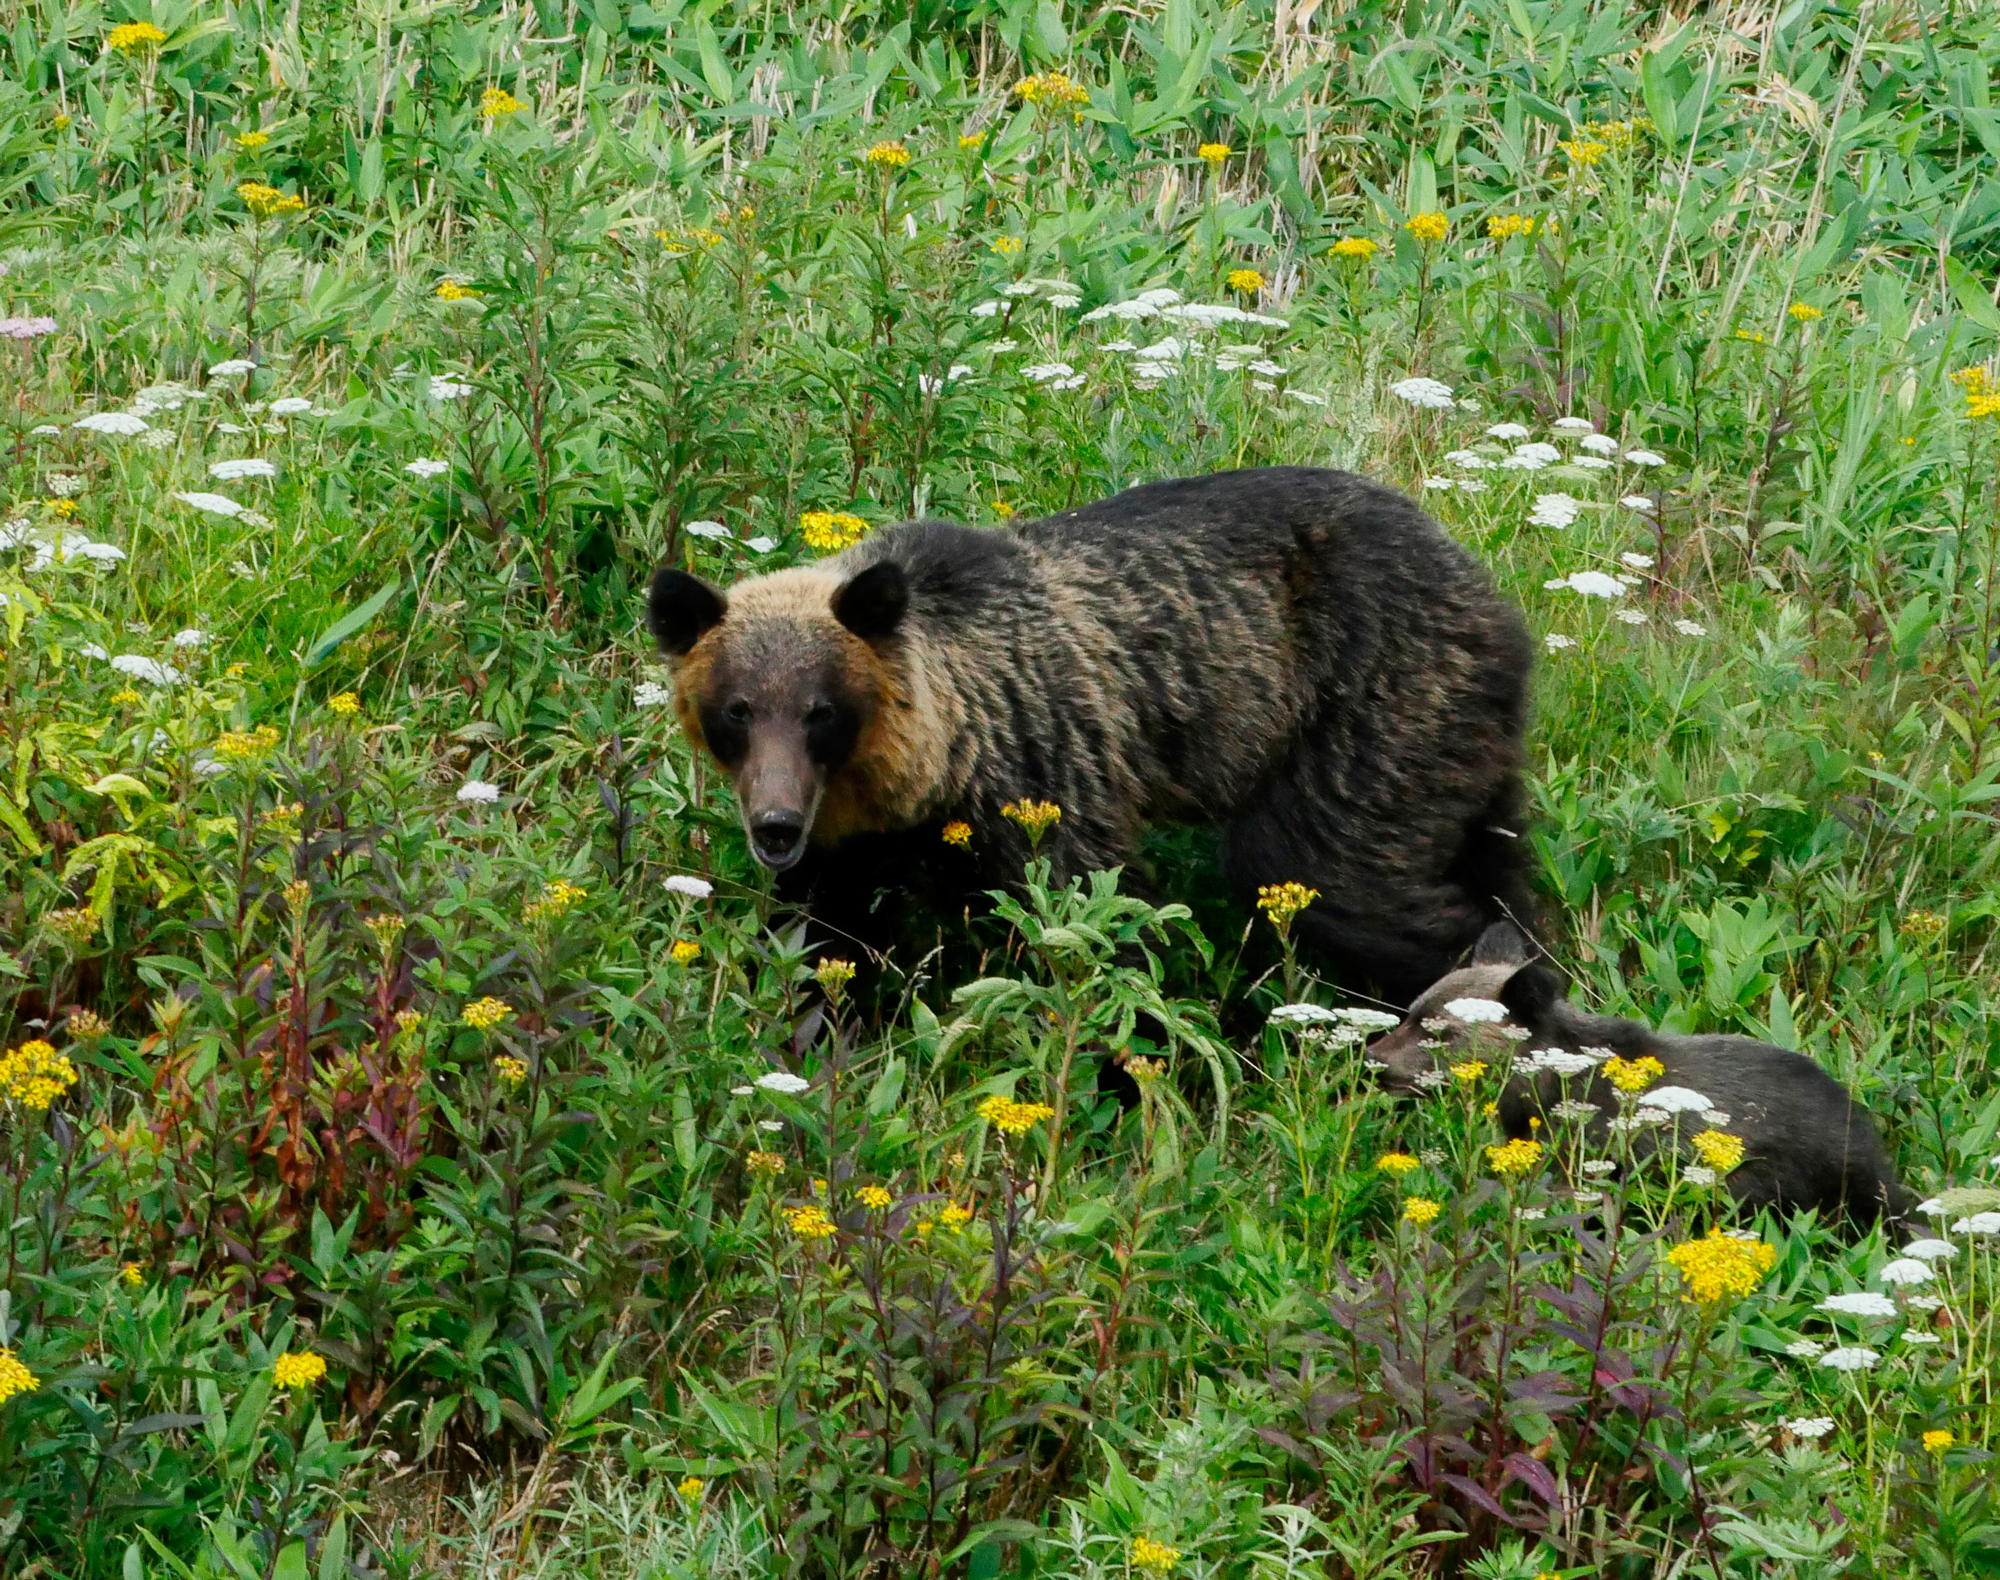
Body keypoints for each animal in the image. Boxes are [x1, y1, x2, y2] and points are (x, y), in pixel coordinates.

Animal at [648, 464, 1536, 1004]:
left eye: (820, 710)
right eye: (736, 709)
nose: (774, 826)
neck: (929, 771)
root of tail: (1480, 576)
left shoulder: (1039, 762)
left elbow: (1094, 910)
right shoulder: (850, 845)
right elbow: (829, 945)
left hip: (1364, 700)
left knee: (1331, 872)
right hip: (1456, 742)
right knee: (1494, 859)